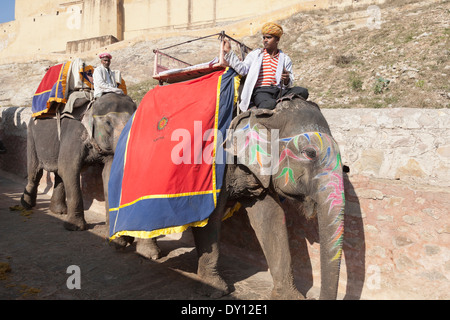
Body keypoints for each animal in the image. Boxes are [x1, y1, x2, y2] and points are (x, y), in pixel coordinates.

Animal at [20, 92, 135, 230]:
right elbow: (69, 170)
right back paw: (26, 205)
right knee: (36, 172)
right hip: (31, 137)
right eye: (108, 123)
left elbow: (108, 174)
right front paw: (75, 227)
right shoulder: (74, 135)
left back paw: (59, 211)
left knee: (59, 173)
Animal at [130, 97, 344, 300]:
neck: (264, 112)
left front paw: (290, 297)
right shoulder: (214, 168)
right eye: (310, 153)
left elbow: (271, 219)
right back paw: (148, 253)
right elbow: (211, 220)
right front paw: (215, 291)